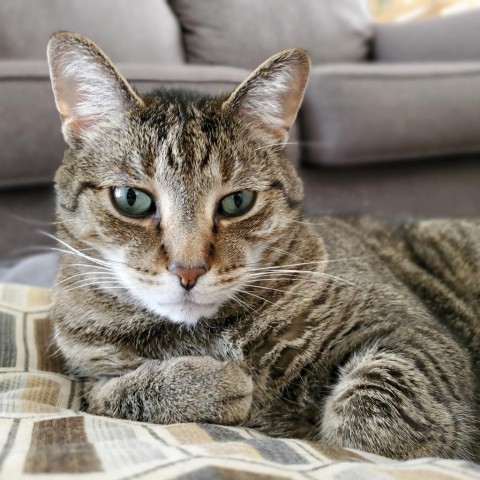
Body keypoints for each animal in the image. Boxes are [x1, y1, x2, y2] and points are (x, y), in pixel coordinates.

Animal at [47, 31, 478, 460]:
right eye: (131, 199)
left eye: (237, 202)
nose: (188, 270)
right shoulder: (84, 368)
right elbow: (105, 394)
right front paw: (213, 383)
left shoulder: (415, 336)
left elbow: (370, 421)